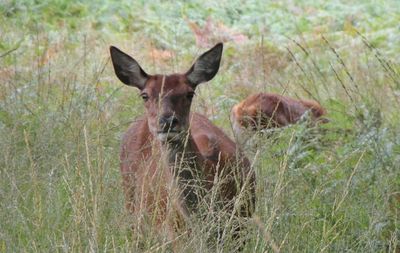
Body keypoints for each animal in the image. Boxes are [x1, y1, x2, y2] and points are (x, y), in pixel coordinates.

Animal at [108, 43, 255, 247]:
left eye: (189, 93)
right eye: (145, 95)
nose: (168, 121)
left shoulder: (240, 226)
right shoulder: (175, 235)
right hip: (131, 204)